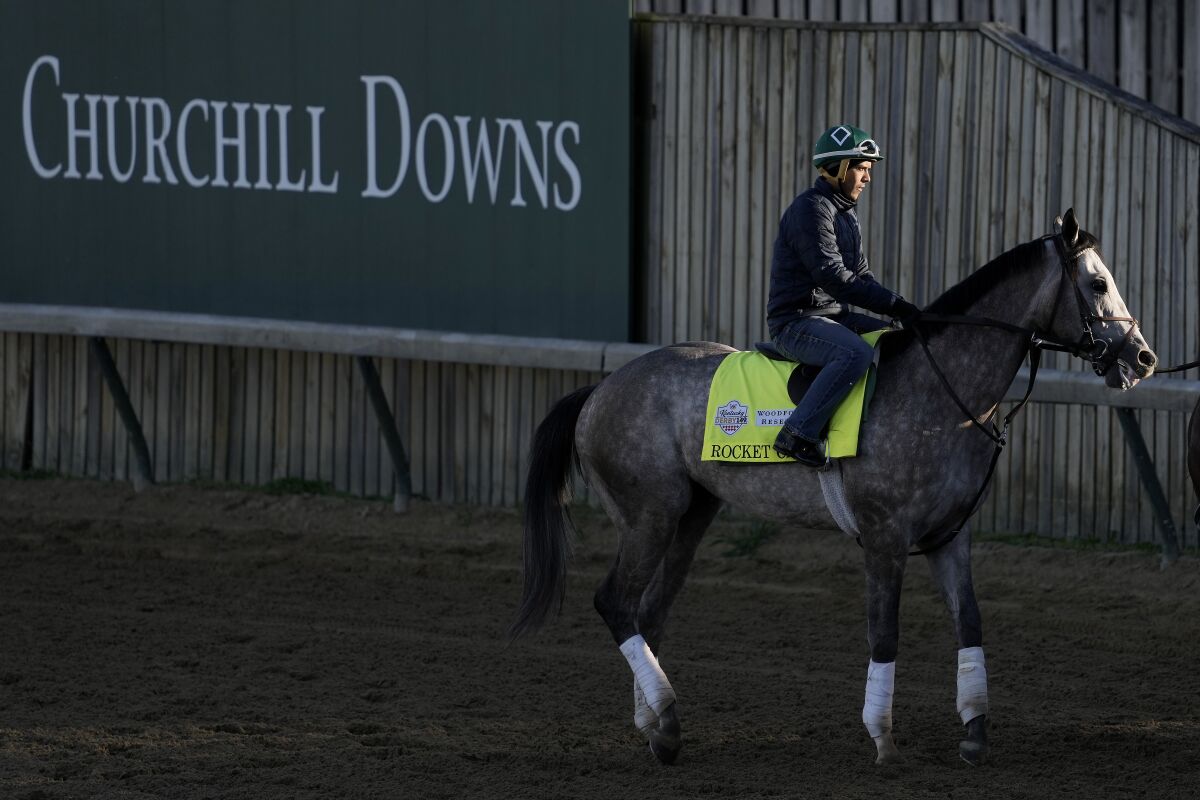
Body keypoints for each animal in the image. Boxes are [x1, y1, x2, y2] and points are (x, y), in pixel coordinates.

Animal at [511, 209, 1156, 767]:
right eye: (1098, 283)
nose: (1143, 358)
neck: (941, 392)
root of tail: (597, 391)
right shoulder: (885, 537)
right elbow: (885, 634)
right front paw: (884, 738)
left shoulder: (951, 536)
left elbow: (970, 623)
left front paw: (974, 731)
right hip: (649, 515)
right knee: (616, 603)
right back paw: (665, 718)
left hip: (691, 516)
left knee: (648, 613)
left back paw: (656, 728)